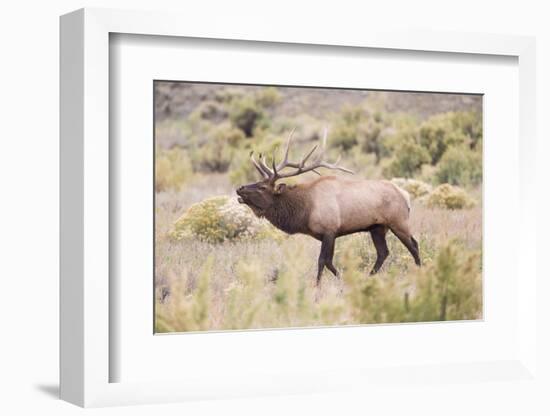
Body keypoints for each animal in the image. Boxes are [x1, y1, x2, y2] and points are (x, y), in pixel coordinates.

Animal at [237, 129, 422, 286]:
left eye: (262, 187)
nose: (239, 188)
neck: (305, 211)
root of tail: (405, 195)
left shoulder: (329, 230)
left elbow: (322, 261)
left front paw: (318, 287)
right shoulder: (327, 234)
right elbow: (329, 262)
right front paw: (342, 281)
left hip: (398, 222)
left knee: (414, 245)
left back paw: (420, 272)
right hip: (377, 227)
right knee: (383, 252)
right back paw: (369, 278)